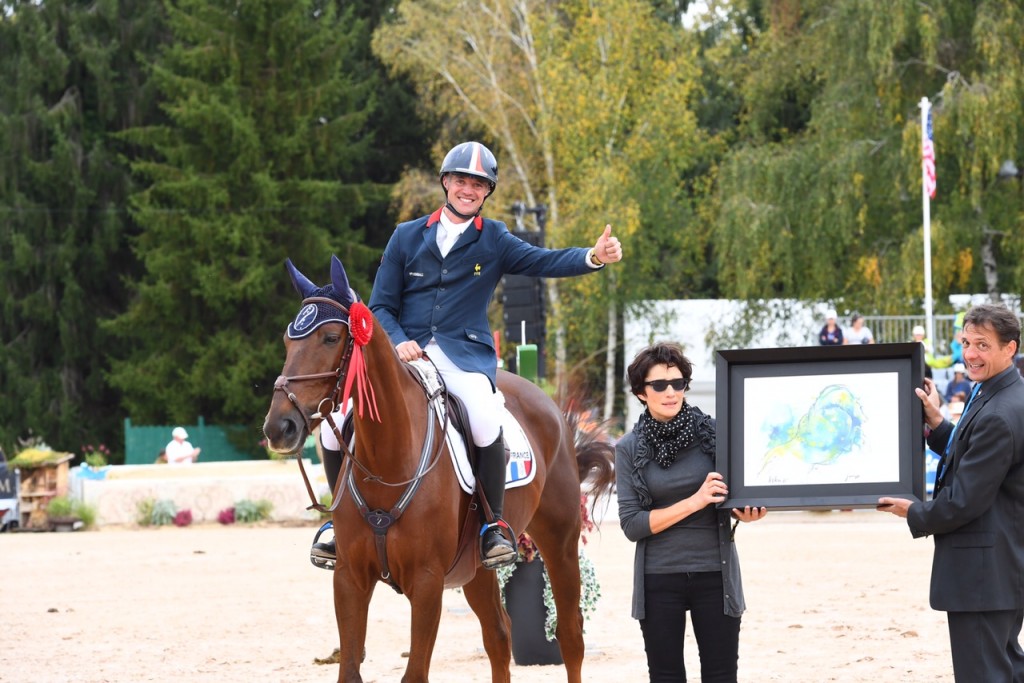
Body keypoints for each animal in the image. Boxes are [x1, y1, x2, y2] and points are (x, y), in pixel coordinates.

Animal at [264, 258, 614, 683]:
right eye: (288, 342)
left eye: (330, 338)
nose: (278, 427)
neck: (387, 460)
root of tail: (548, 403)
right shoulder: (349, 578)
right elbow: (349, 670)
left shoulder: (427, 583)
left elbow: (414, 673)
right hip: (477, 569)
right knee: (499, 636)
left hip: (560, 541)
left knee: (569, 634)